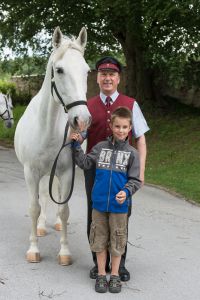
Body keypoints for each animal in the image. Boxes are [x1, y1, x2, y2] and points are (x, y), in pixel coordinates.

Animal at [14, 27, 91, 264]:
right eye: (59, 70)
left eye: (87, 71)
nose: (82, 120)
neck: (46, 128)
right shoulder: (31, 172)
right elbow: (34, 207)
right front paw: (33, 249)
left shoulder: (66, 172)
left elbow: (64, 209)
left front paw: (65, 252)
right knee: (43, 196)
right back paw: (40, 227)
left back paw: (55, 223)